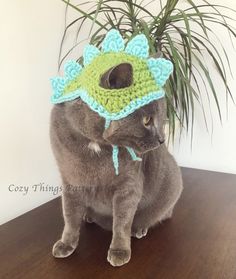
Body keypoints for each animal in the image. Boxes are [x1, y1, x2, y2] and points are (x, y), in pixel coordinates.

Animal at [49, 62, 183, 268]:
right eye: (147, 120)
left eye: (161, 118)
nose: (162, 139)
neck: (95, 145)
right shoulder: (70, 180)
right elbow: (70, 216)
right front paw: (66, 244)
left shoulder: (128, 185)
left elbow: (122, 221)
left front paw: (119, 251)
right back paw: (88, 216)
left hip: (172, 182)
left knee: (159, 215)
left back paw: (140, 229)